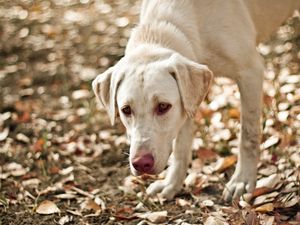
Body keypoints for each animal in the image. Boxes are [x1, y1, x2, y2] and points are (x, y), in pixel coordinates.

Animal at [92, 0, 300, 200]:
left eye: (163, 106)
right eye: (126, 110)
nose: (141, 164)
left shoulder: (250, 72)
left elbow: (248, 136)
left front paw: (242, 180)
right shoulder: (187, 102)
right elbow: (181, 148)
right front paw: (172, 184)